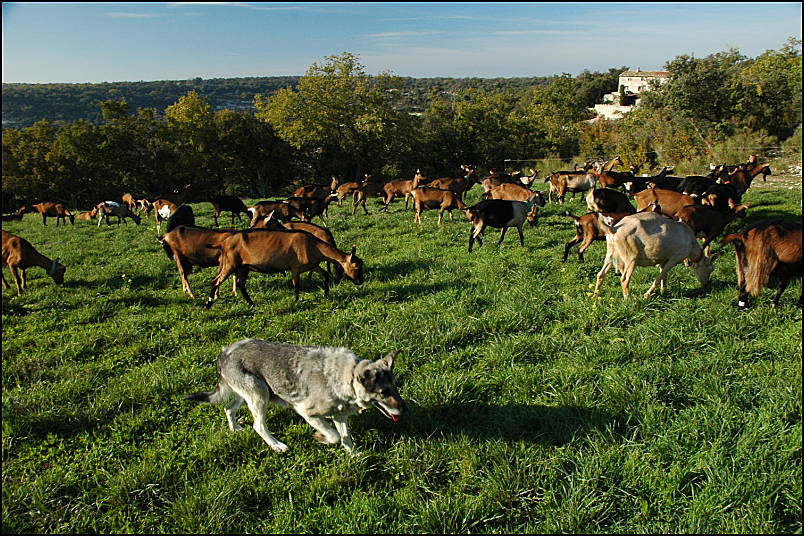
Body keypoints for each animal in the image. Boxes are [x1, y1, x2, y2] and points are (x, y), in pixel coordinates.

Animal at [185, 340, 406, 452]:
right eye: (384, 392)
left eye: (395, 387)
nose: (404, 409)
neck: (346, 377)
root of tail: (223, 353)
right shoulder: (306, 412)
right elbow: (334, 436)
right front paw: (321, 438)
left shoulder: (340, 416)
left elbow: (346, 439)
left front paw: (354, 456)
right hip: (260, 395)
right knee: (258, 426)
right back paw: (276, 445)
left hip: (249, 394)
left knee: (228, 408)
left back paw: (235, 429)